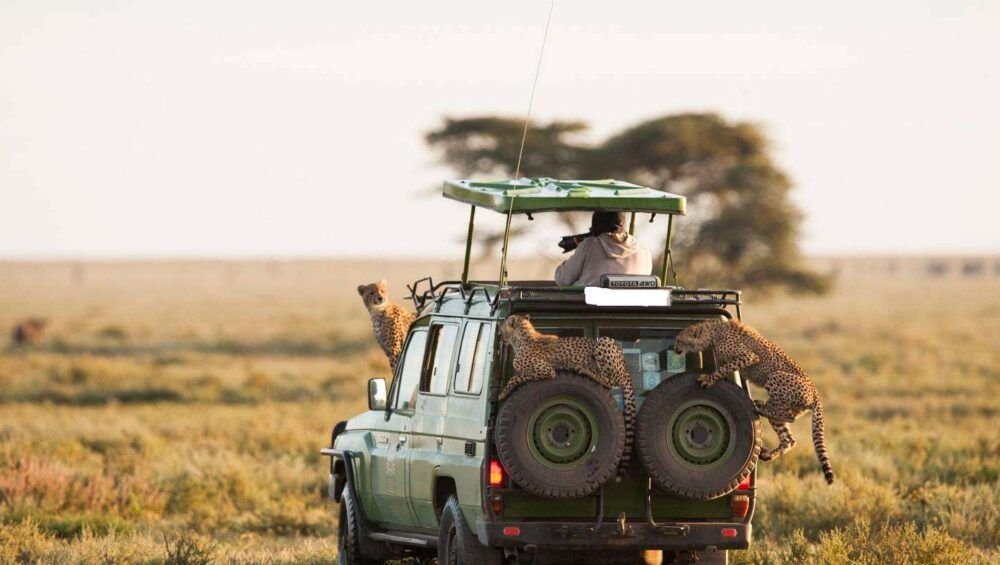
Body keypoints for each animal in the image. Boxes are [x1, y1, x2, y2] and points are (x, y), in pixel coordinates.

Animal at [498, 316, 636, 470]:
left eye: (502, 328)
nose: (499, 335)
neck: (522, 338)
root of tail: (625, 365)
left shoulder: (547, 371)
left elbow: (516, 377)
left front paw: (503, 393)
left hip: (604, 342)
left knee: (608, 381)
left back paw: (584, 370)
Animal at [672, 320, 836, 482]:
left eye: (679, 340)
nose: (675, 349)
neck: (713, 333)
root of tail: (815, 392)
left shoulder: (750, 357)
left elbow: (725, 368)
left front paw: (709, 379)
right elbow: (722, 368)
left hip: (775, 377)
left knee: (789, 417)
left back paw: (759, 407)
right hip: (783, 411)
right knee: (789, 438)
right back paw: (768, 451)